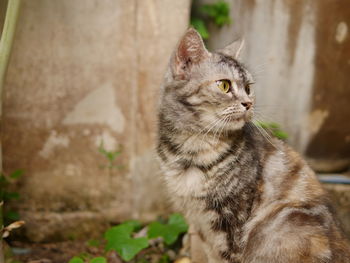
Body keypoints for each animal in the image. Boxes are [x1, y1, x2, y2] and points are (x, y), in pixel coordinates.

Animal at [157, 27, 350, 262]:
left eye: (248, 88)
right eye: (224, 85)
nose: (248, 103)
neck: (191, 148)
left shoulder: (231, 222)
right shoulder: (200, 224)